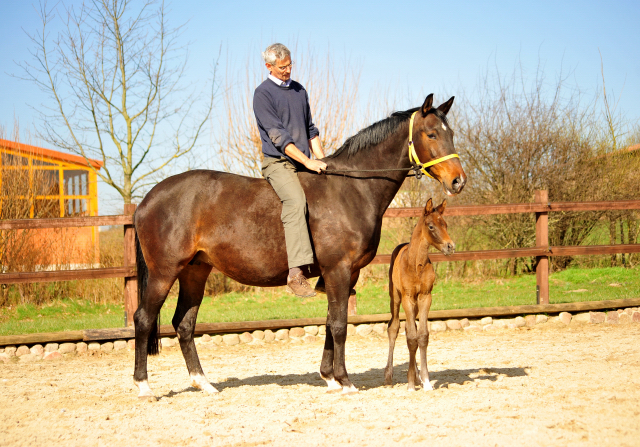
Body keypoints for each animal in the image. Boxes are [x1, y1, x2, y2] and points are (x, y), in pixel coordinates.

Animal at [382, 200, 452, 392]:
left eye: (445, 224)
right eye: (431, 226)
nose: (450, 246)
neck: (416, 264)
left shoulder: (425, 297)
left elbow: (422, 336)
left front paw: (425, 380)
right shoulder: (407, 297)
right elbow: (411, 337)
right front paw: (411, 383)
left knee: (409, 328)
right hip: (396, 297)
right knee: (394, 327)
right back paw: (389, 376)